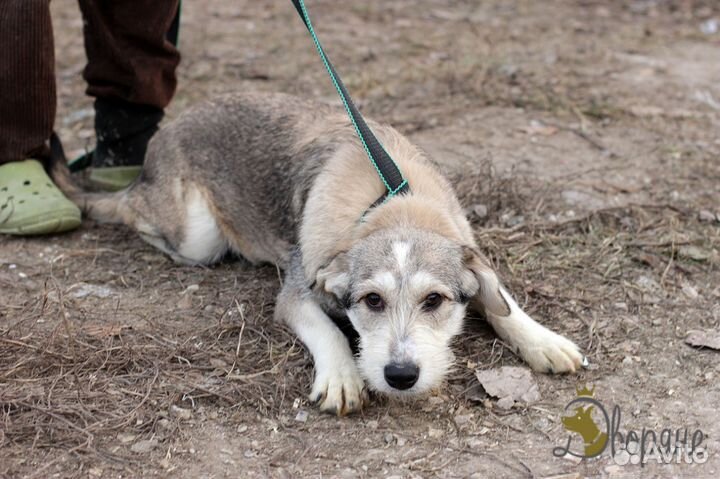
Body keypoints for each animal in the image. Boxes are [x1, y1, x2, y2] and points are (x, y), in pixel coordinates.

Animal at [52, 93, 584, 416]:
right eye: (372, 301)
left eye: (434, 301)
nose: (400, 377)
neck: (393, 204)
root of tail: (166, 131)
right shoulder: (295, 292)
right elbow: (326, 328)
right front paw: (343, 378)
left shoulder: (468, 252)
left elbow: (501, 301)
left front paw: (543, 340)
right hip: (195, 237)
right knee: (131, 210)